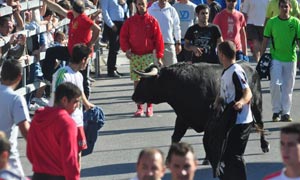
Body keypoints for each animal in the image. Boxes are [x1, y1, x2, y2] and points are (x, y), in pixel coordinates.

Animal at [131, 62, 270, 153]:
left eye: (145, 80)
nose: (133, 96)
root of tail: (251, 68)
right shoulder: (182, 117)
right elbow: (175, 137)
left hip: (257, 105)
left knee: (260, 123)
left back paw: (264, 146)